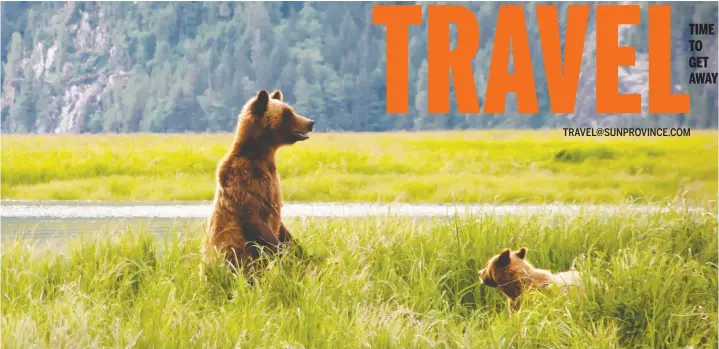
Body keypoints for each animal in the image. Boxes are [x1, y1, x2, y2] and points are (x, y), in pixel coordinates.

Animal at [202, 88, 316, 270]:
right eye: (288, 113)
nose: (310, 122)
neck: (261, 154)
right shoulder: (244, 183)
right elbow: (257, 222)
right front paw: (285, 256)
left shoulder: (272, 181)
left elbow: (283, 230)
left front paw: (301, 253)